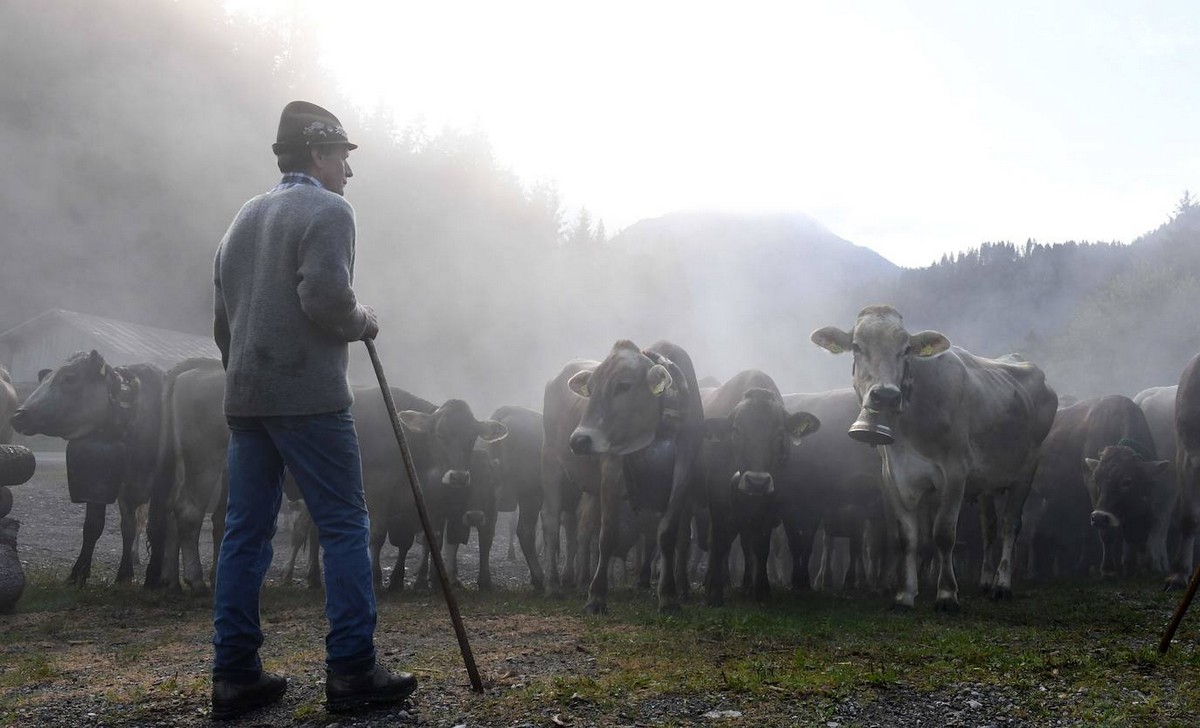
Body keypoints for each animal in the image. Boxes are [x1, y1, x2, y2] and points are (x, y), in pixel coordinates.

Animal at [9, 347, 171, 587]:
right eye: (45, 379)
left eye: (70, 377)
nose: (18, 416)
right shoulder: (105, 485)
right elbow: (100, 527)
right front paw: (84, 573)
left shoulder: (162, 487)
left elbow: (156, 528)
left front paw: (151, 577)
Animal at [564, 340, 700, 614]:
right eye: (590, 388)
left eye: (623, 386)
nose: (579, 440)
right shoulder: (611, 463)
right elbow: (607, 534)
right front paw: (596, 596)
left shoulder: (685, 467)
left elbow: (667, 534)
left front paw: (668, 596)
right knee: (582, 529)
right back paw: (582, 582)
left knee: (683, 537)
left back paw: (683, 587)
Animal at [700, 369, 820, 604]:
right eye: (736, 431)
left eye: (780, 434)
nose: (757, 481)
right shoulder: (717, 495)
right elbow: (719, 539)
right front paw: (714, 592)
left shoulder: (769, 501)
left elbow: (761, 545)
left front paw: (761, 589)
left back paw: (745, 584)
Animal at [811, 307, 1056, 609]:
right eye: (856, 346)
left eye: (906, 349)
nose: (886, 396)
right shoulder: (894, 477)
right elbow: (907, 537)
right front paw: (905, 594)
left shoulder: (955, 474)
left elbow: (943, 535)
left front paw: (947, 594)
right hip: (987, 482)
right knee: (989, 528)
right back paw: (986, 582)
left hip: (1026, 471)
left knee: (1010, 525)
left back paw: (1002, 585)